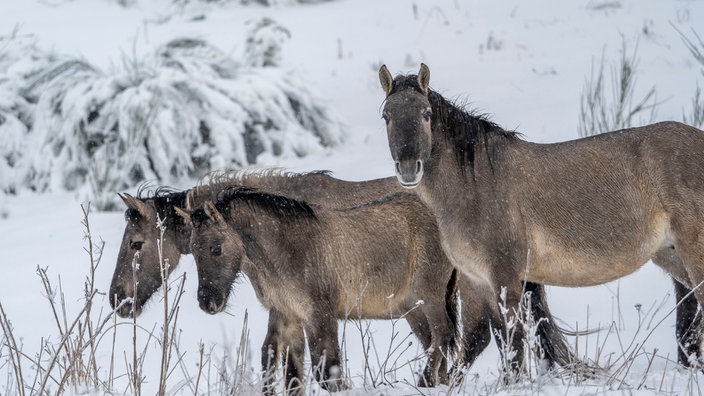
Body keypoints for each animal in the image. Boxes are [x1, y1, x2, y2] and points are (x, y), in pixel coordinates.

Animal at [380, 63, 704, 370]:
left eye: (426, 113)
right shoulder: (480, 281)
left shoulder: (506, 277)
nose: (408, 168)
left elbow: (514, 345)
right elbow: (501, 339)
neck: (476, 184)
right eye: (387, 116)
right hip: (671, 256)